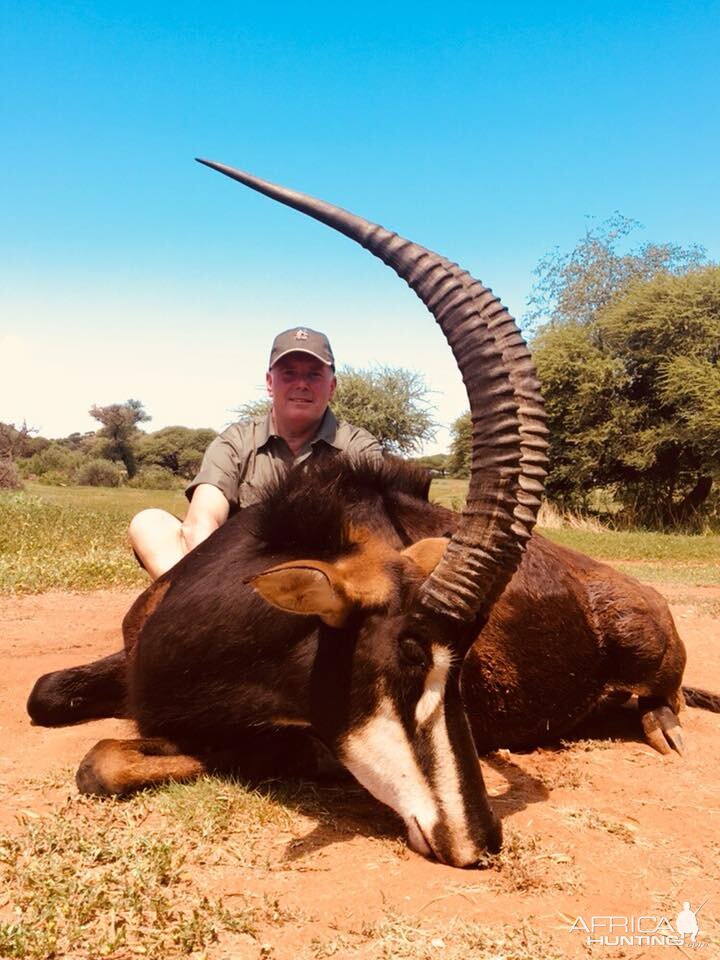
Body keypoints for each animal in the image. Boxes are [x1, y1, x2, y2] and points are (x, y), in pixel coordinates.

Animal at [28, 165, 708, 872]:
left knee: (666, 695)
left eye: (463, 665)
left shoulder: (304, 741)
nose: (480, 843)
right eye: (409, 653)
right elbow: (46, 695)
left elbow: (105, 761)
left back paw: (663, 726)